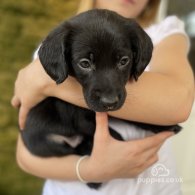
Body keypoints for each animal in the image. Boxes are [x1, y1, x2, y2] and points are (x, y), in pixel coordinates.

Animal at [21, 9, 181, 189]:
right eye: (84, 63)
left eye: (124, 61)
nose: (109, 102)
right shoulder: (82, 119)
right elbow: (114, 135)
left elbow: (132, 117)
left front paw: (163, 125)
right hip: (47, 143)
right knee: (75, 149)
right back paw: (94, 179)